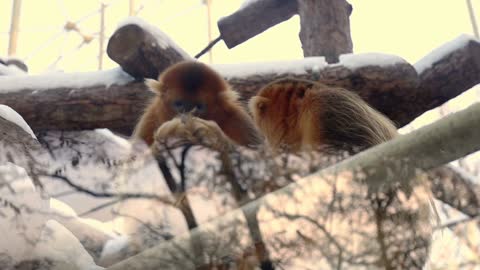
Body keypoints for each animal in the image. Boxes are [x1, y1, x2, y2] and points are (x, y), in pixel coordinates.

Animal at [132, 60, 262, 148]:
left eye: (198, 107)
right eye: (179, 104)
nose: (185, 116)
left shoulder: (238, 121)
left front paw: (210, 133)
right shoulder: (149, 120)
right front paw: (170, 132)